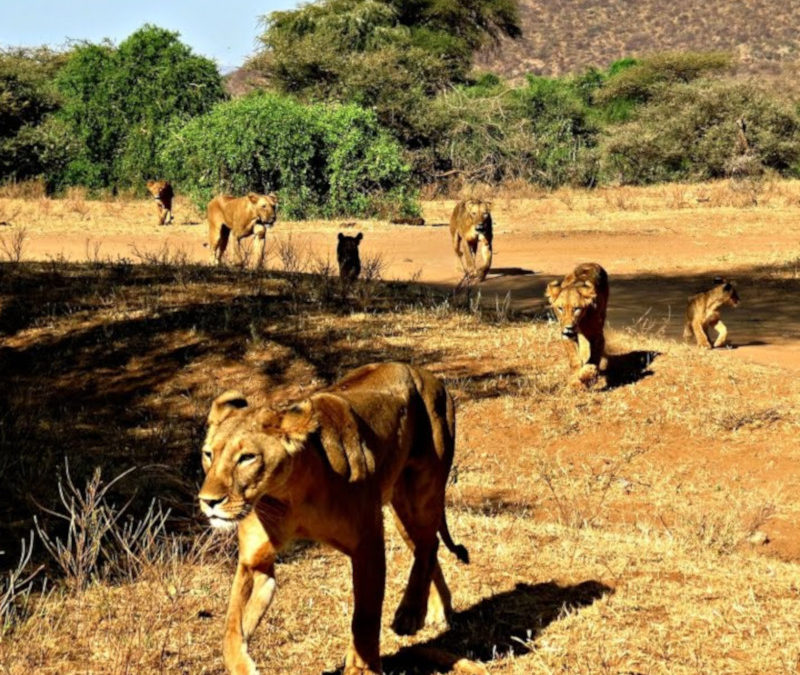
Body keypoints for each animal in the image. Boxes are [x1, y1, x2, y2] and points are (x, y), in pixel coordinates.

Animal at [198, 364, 468, 675]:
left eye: (247, 457)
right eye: (208, 454)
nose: (208, 501)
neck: (288, 496)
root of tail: (425, 374)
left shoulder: (367, 545)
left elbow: (364, 618)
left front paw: (361, 667)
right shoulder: (254, 562)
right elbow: (231, 629)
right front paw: (243, 666)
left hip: (420, 494)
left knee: (427, 546)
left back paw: (410, 614)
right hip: (402, 507)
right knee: (428, 546)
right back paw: (438, 609)